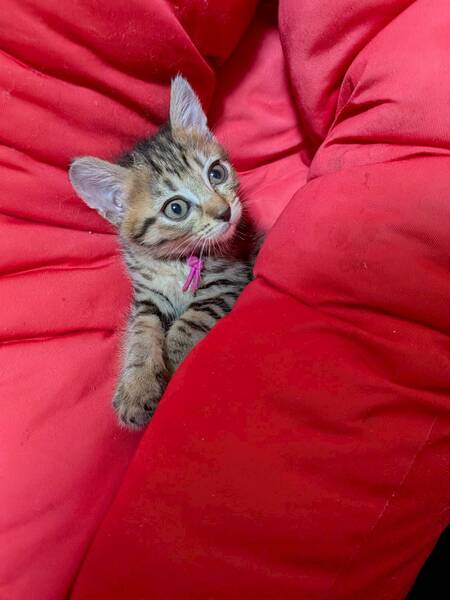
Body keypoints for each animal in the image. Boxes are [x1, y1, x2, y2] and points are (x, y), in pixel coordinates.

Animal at [69, 75, 254, 429]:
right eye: (176, 208)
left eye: (216, 173)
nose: (225, 212)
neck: (176, 262)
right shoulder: (146, 298)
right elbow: (141, 332)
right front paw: (137, 387)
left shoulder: (227, 281)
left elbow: (188, 323)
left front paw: (173, 364)